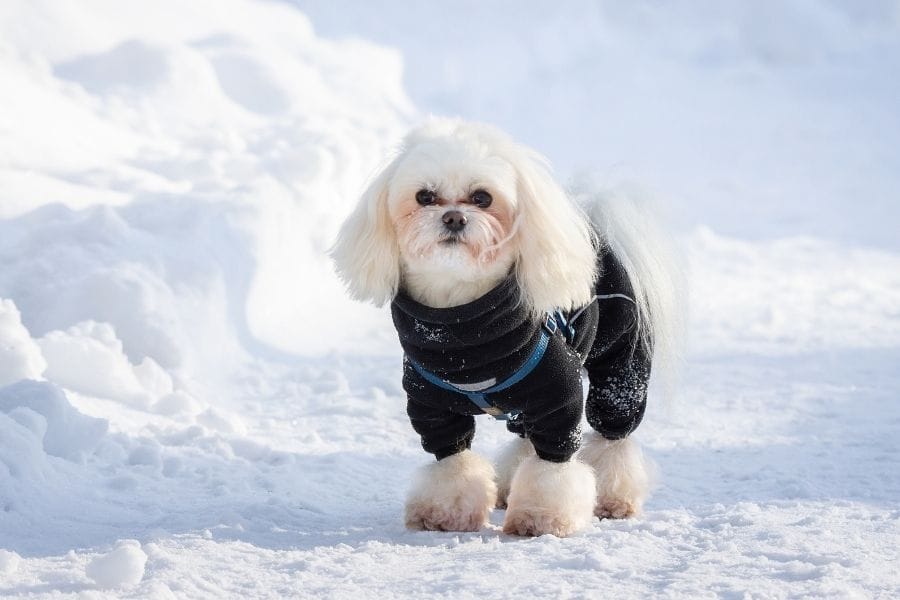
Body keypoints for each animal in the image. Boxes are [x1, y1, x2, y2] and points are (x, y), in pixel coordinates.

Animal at [334, 116, 680, 536]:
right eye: (424, 197)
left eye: (483, 197)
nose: (454, 217)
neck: (461, 330)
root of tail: (596, 228)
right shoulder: (431, 407)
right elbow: (452, 458)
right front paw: (444, 513)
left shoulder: (557, 396)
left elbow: (554, 464)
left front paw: (542, 518)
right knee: (526, 436)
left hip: (621, 364)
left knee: (612, 434)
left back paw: (613, 497)